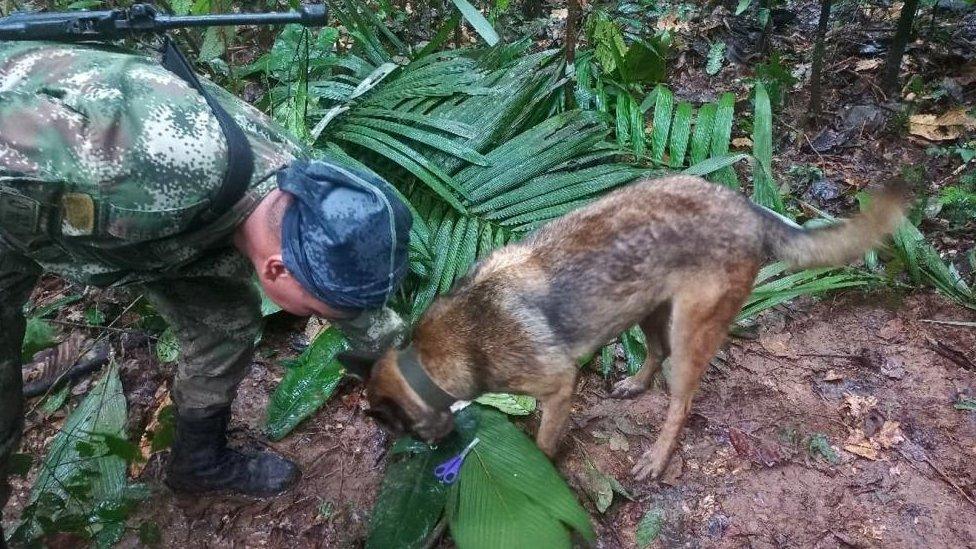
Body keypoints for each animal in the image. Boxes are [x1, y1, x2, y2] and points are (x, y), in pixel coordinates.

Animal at [364, 176, 908, 480]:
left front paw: (539, 471)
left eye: (400, 429)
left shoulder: (558, 388)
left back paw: (657, 458)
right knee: (656, 352)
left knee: (681, 401)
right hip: (646, 306)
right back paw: (635, 384)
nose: (431, 452)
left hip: (691, 332)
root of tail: (747, 208)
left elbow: (543, 443)